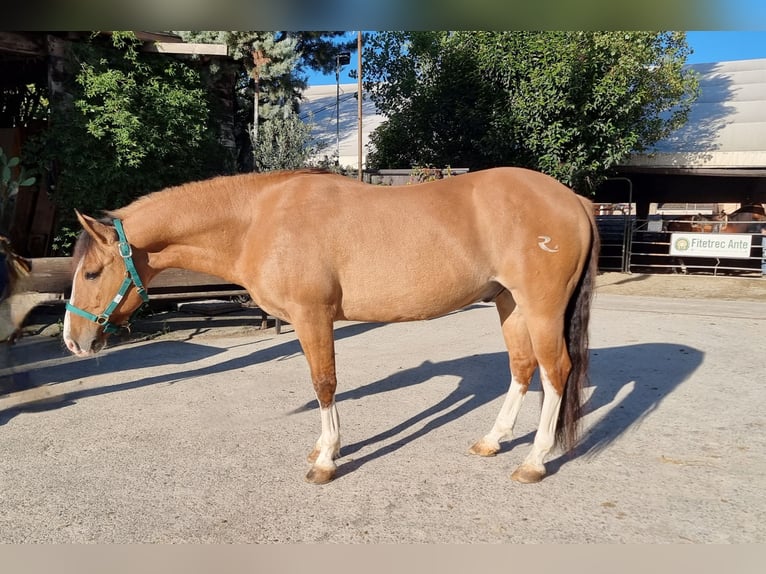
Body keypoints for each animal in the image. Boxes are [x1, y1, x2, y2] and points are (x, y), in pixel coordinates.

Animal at [63, 167, 599, 485]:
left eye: (90, 273)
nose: (73, 340)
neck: (259, 220)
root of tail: (573, 199)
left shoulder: (312, 316)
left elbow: (323, 383)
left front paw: (326, 460)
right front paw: (324, 448)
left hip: (540, 307)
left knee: (556, 371)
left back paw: (534, 461)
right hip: (509, 303)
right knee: (522, 367)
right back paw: (493, 441)